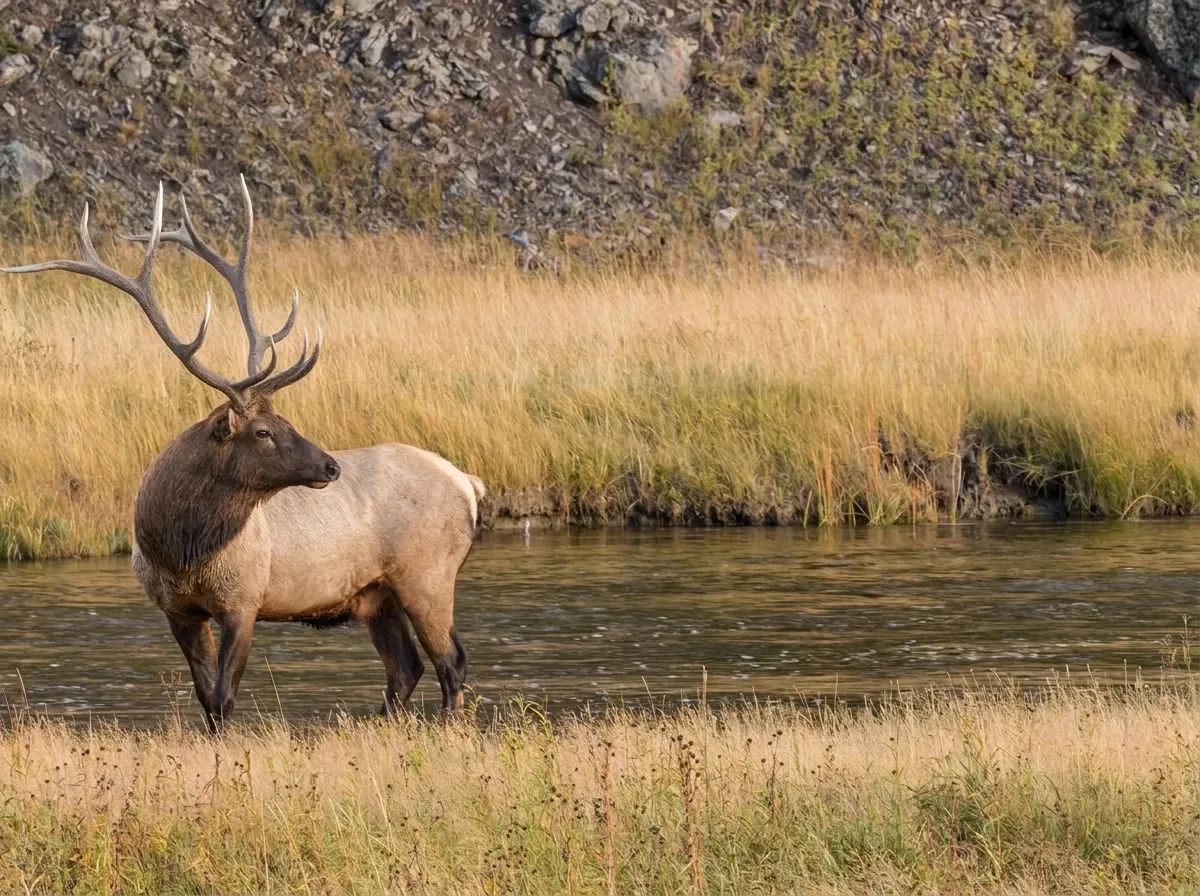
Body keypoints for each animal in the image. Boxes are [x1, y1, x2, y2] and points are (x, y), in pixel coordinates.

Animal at [4, 178, 485, 732]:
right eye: (264, 431)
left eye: (284, 424)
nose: (331, 466)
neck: (179, 549)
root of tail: (468, 483)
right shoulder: (177, 609)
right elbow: (205, 698)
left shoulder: (244, 599)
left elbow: (224, 695)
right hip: (375, 593)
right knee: (405, 666)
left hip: (427, 572)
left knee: (451, 660)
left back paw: (449, 726)